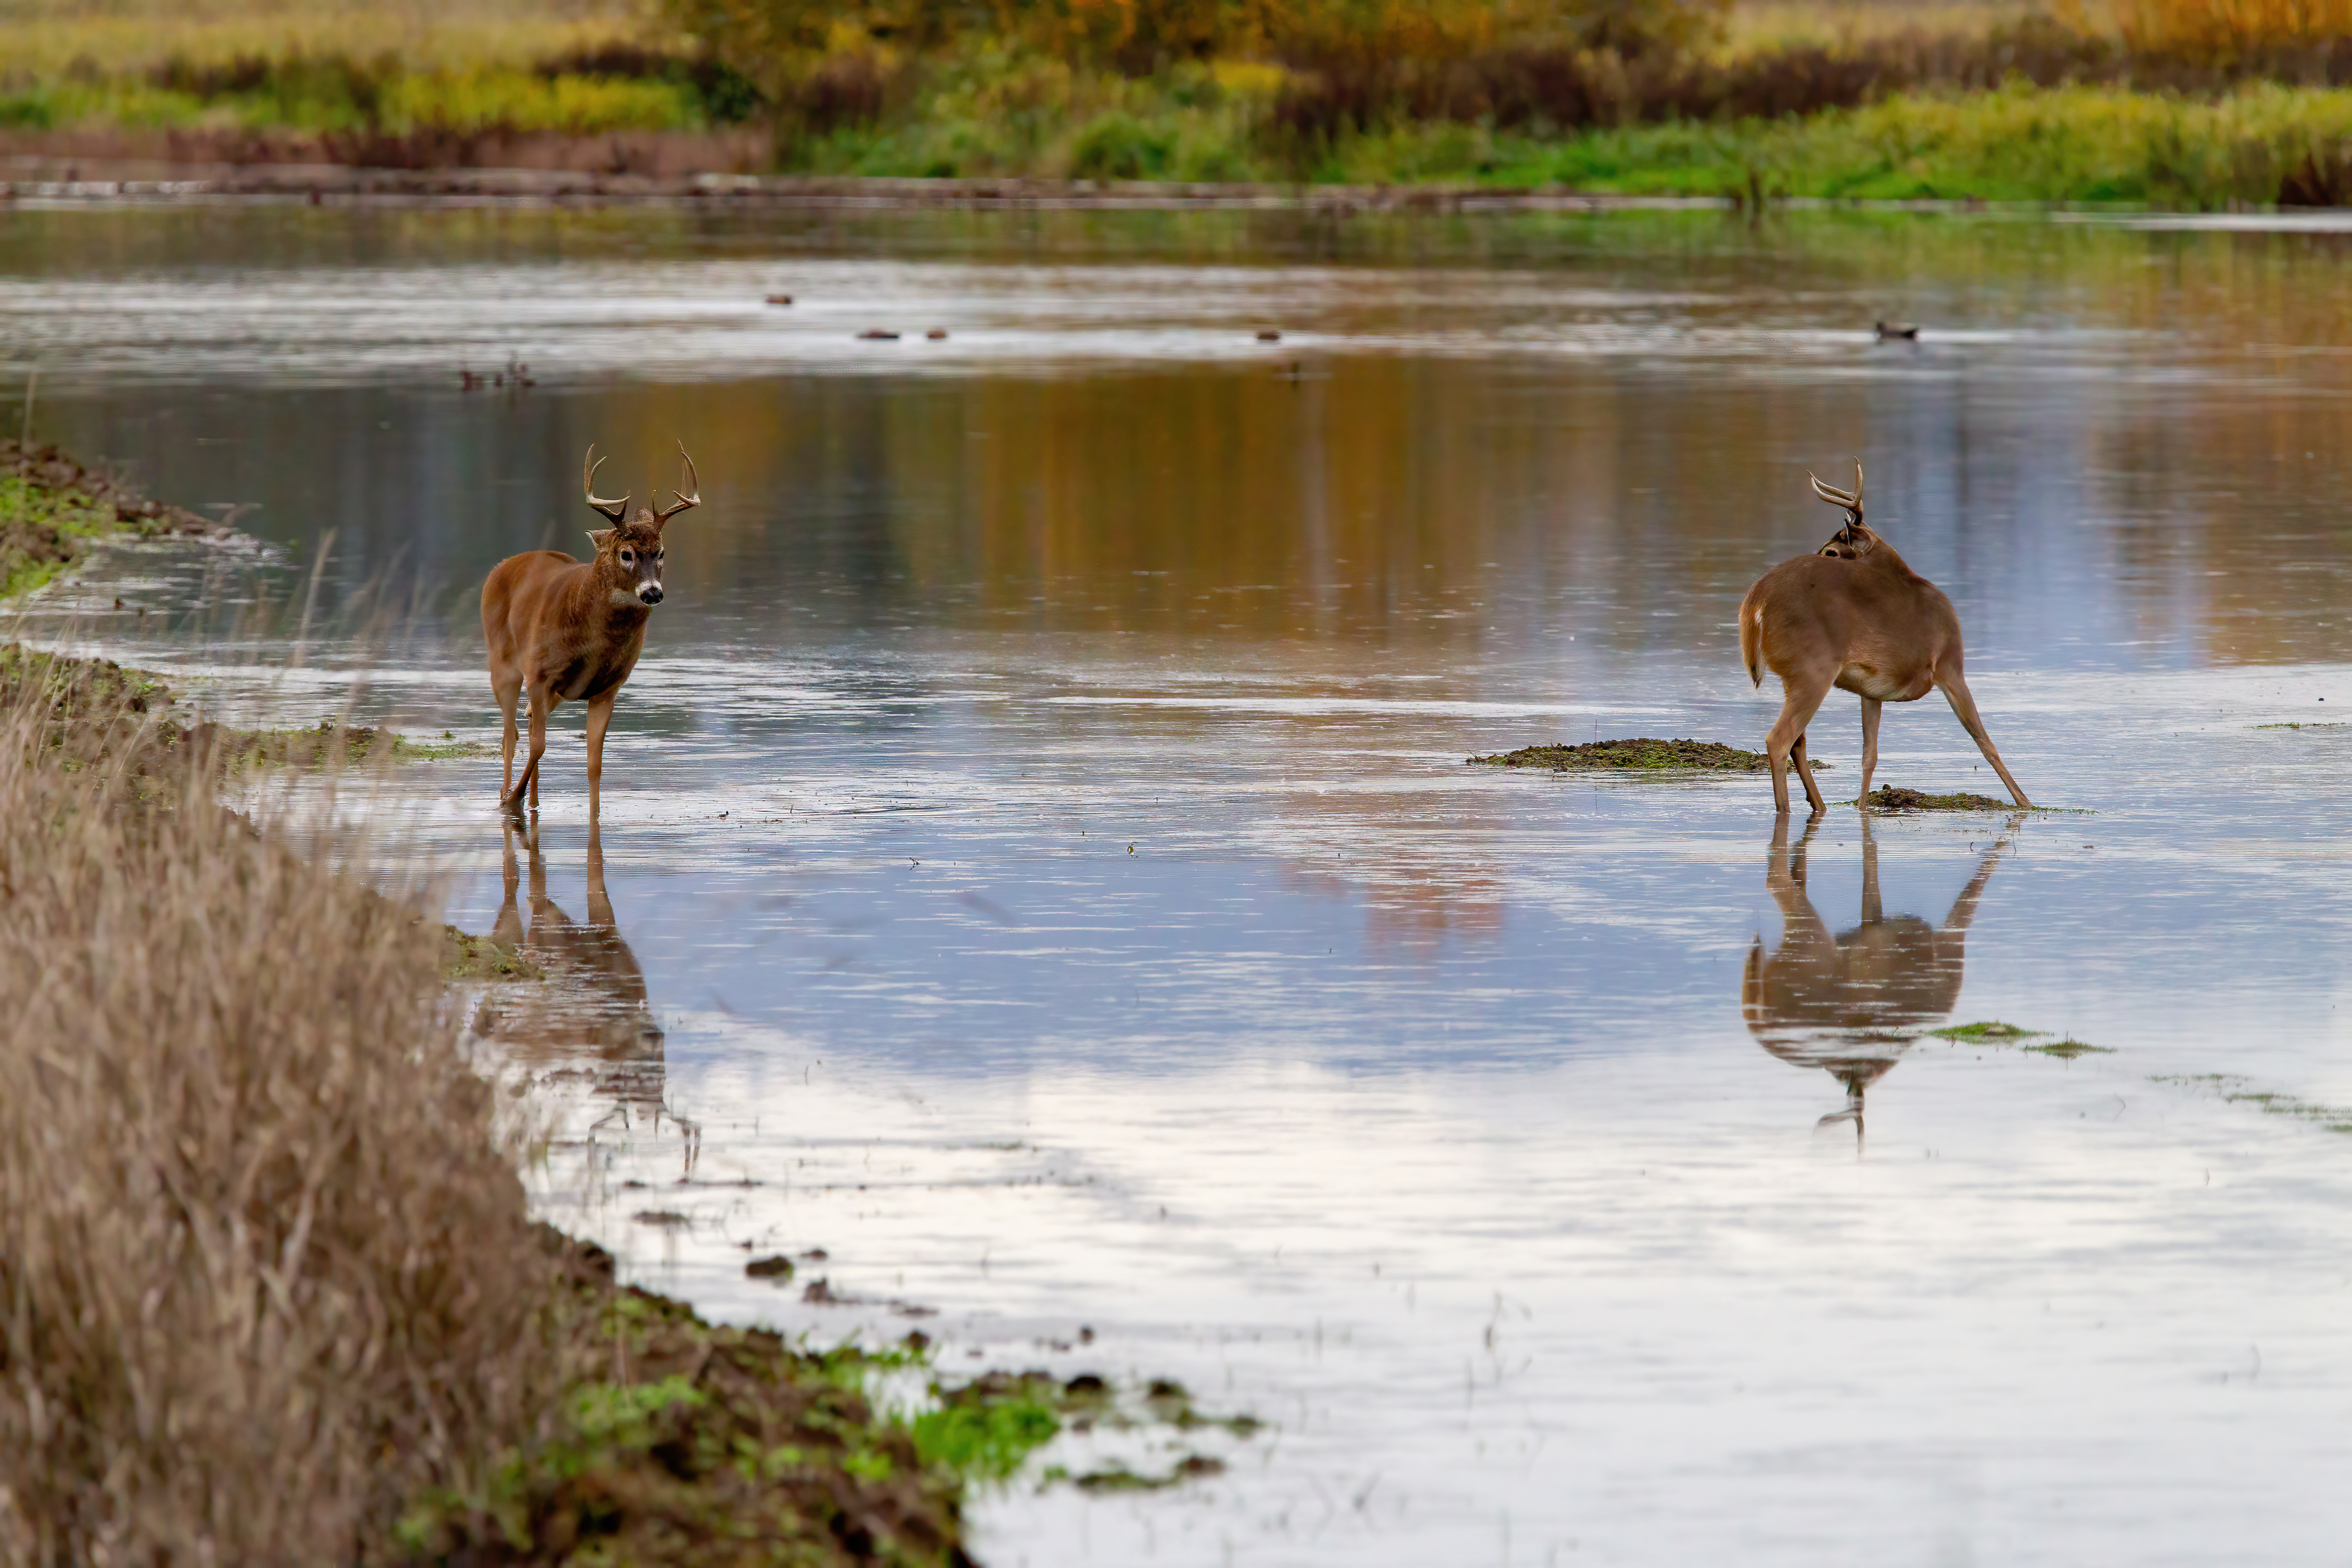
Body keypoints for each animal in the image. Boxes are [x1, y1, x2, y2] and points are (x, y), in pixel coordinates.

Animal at [483, 441, 698, 815]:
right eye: (626, 554)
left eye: (661, 552)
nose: (653, 592)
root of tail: (501, 567)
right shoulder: (540, 673)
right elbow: (539, 745)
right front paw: (512, 800)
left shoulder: (608, 687)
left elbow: (594, 762)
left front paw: (596, 813)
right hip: (502, 662)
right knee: (511, 734)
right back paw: (506, 798)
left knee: (527, 721)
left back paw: (533, 802)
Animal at [1738, 459, 2032, 815]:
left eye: (1831, 551)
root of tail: (1757, 597)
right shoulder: (1950, 665)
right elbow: (1985, 742)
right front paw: (2027, 803)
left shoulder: (1872, 692)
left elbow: (1870, 755)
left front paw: (1863, 808)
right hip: (1812, 670)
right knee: (1779, 740)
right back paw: (1786, 809)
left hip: (1793, 678)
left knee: (1798, 742)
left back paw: (1819, 805)